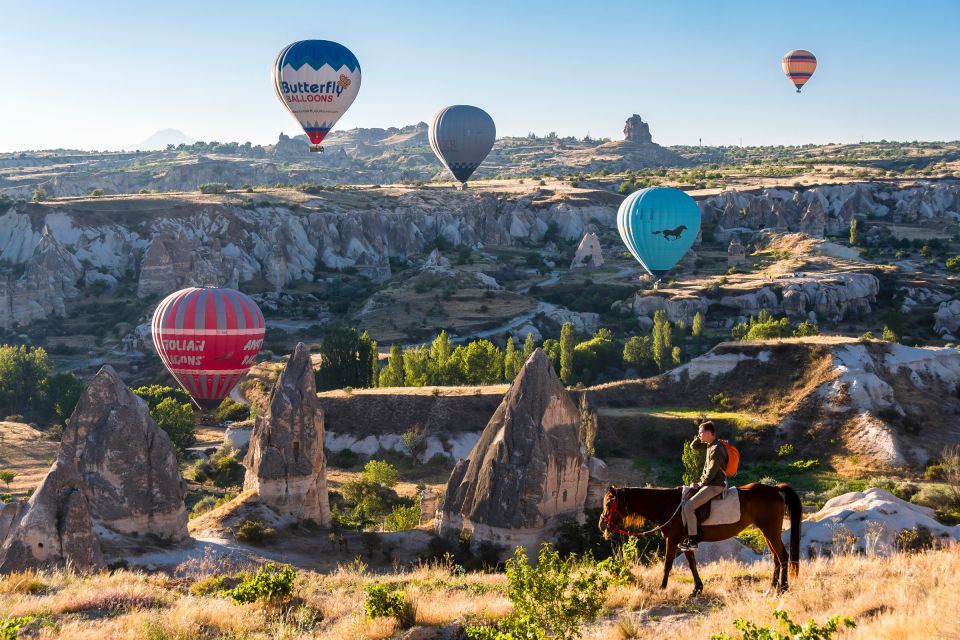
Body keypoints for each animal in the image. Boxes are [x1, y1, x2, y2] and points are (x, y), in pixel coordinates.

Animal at [600, 484, 804, 596]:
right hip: (767, 532)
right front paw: (697, 588)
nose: (602, 524)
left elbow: (667, 564)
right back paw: (772, 587)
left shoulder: (672, 540)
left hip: (770, 531)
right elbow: (692, 564)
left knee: (783, 556)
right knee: (776, 558)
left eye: (609, 502)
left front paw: (662, 587)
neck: (669, 504)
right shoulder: (685, 542)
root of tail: (775, 490)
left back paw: (783, 588)